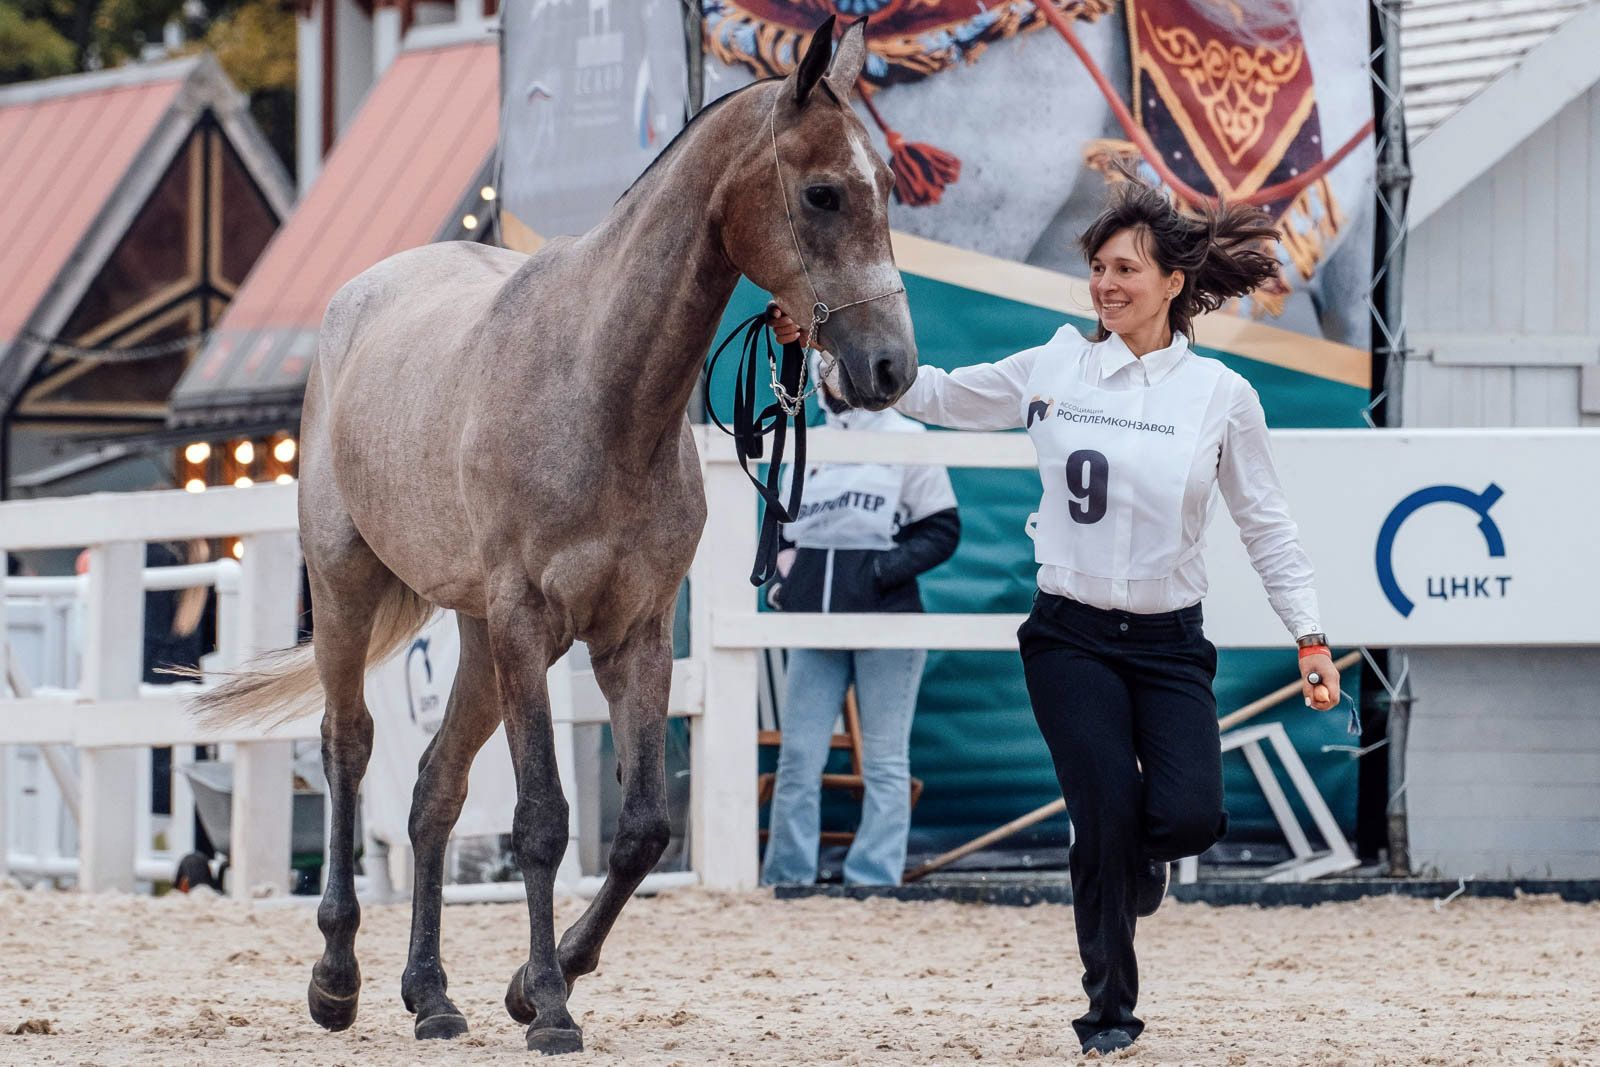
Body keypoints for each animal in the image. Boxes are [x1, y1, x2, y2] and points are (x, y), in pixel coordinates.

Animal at [192, 14, 915, 1049]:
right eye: (822, 192)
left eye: (887, 189)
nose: (891, 365)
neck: (600, 389)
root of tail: (356, 299)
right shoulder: (530, 625)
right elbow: (541, 817)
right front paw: (551, 1006)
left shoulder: (635, 636)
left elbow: (643, 827)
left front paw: (537, 982)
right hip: (347, 589)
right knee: (348, 745)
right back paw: (336, 977)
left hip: (474, 636)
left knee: (434, 790)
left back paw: (431, 994)